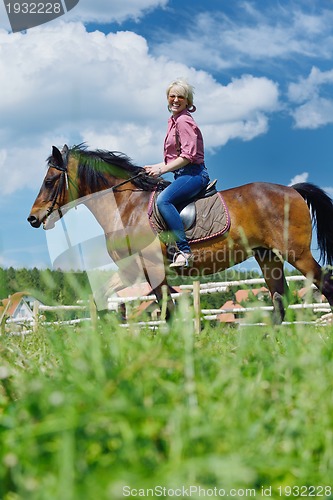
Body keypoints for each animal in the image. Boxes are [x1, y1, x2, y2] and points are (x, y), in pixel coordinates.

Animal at [27, 144, 332, 324]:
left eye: (49, 181)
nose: (33, 218)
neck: (126, 205)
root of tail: (292, 189)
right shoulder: (131, 270)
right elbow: (100, 296)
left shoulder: (150, 268)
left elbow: (168, 309)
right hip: (268, 257)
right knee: (280, 299)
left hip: (296, 253)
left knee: (324, 286)